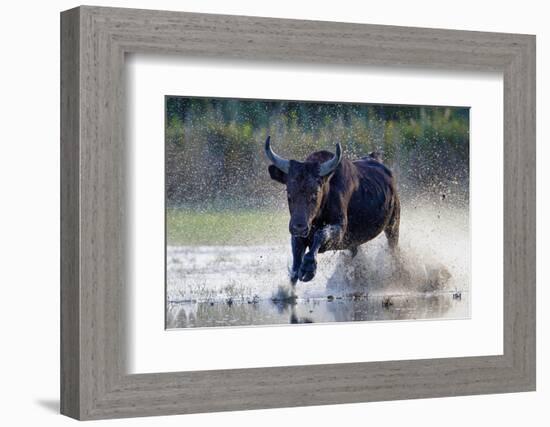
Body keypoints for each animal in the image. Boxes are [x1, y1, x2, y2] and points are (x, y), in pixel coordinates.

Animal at [266, 137, 402, 284]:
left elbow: (321, 235)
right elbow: (295, 268)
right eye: (289, 193)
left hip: (393, 225)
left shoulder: (340, 230)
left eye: (315, 194)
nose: (299, 227)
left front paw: (308, 268)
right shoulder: (297, 236)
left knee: (393, 248)